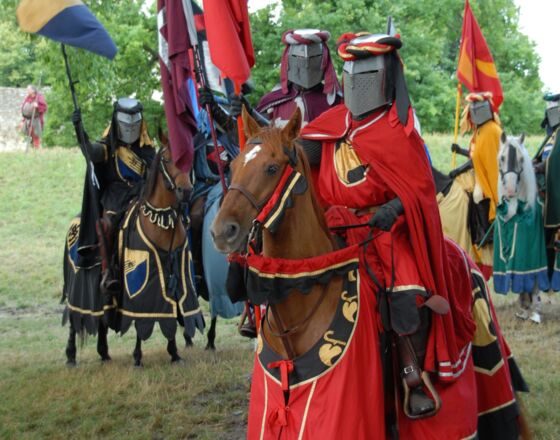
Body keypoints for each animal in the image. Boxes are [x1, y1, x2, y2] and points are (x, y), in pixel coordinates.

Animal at [63, 144, 205, 364]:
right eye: (167, 159)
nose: (186, 190)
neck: (161, 220)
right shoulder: (142, 285)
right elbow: (140, 318)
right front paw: (138, 357)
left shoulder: (176, 276)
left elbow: (172, 313)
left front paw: (174, 353)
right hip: (76, 283)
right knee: (73, 316)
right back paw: (71, 355)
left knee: (102, 320)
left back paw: (104, 353)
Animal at [496, 132, 548, 322]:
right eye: (502, 158)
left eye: (521, 159)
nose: (511, 190)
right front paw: (524, 307)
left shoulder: (535, 251)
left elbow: (535, 279)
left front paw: (535, 312)